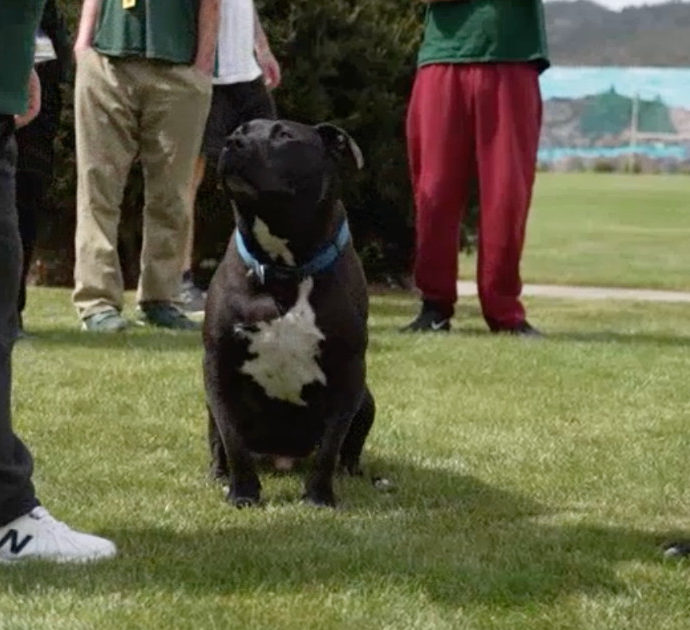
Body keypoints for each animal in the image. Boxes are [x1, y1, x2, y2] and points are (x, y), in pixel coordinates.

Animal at [203, 121, 374, 512]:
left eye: (284, 136)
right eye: (241, 129)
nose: (232, 142)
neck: (284, 266)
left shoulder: (349, 372)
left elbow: (330, 445)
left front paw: (319, 497)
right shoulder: (218, 367)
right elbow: (232, 439)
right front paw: (243, 493)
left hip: (367, 400)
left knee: (348, 447)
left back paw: (352, 473)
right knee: (218, 439)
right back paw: (217, 473)